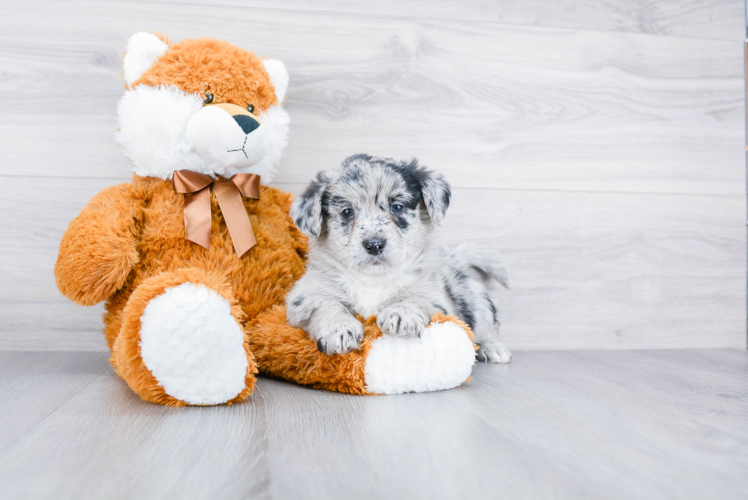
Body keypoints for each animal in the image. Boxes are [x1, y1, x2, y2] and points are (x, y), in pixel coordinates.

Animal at [286, 153, 516, 364]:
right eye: (347, 212)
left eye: (397, 207)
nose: (374, 245)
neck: (373, 280)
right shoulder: (304, 297)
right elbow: (327, 303)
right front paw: (339, 328)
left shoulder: (436, 298)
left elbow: (416, 297)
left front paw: (401, 314)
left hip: (476, 299)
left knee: (488, 327)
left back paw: (493, 348)